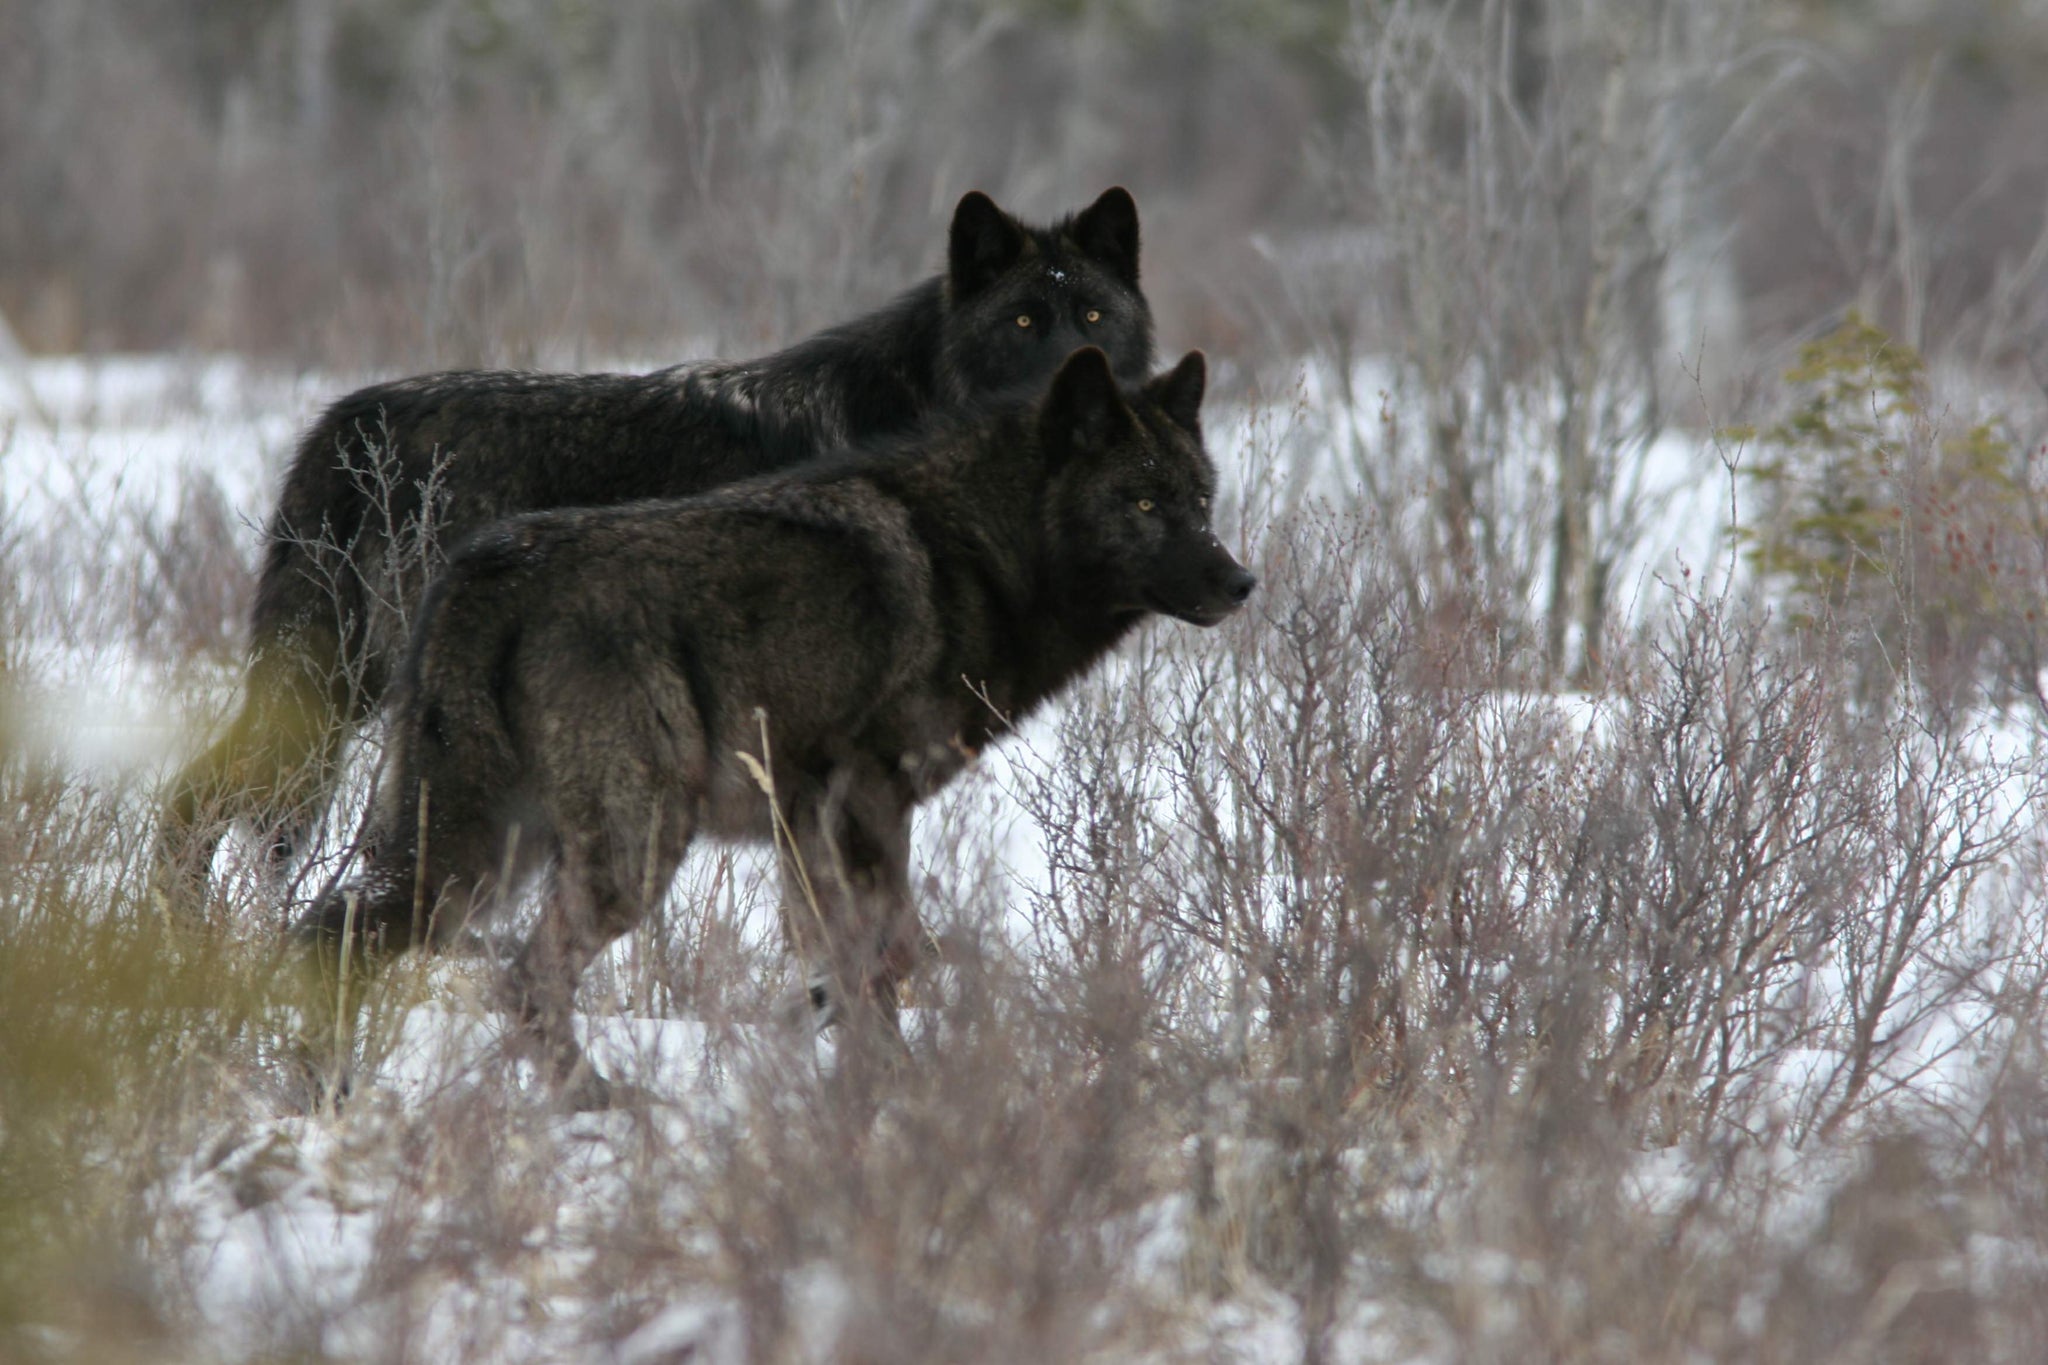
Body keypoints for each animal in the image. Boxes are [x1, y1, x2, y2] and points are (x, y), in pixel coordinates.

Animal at [299, 343, 1253, 1113]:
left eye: (1201, 499)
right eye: (1142, 503)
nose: (1241, 582)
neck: (980, 553)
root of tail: (482, 571)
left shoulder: (808, 825)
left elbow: (852, 968)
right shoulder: (865, 806)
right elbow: (883, 964)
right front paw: (896, 1096)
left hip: (486, 849)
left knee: (335, 927)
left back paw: (326, 1091)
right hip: (627, 847)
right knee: (522, 975)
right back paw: (597, 1102)